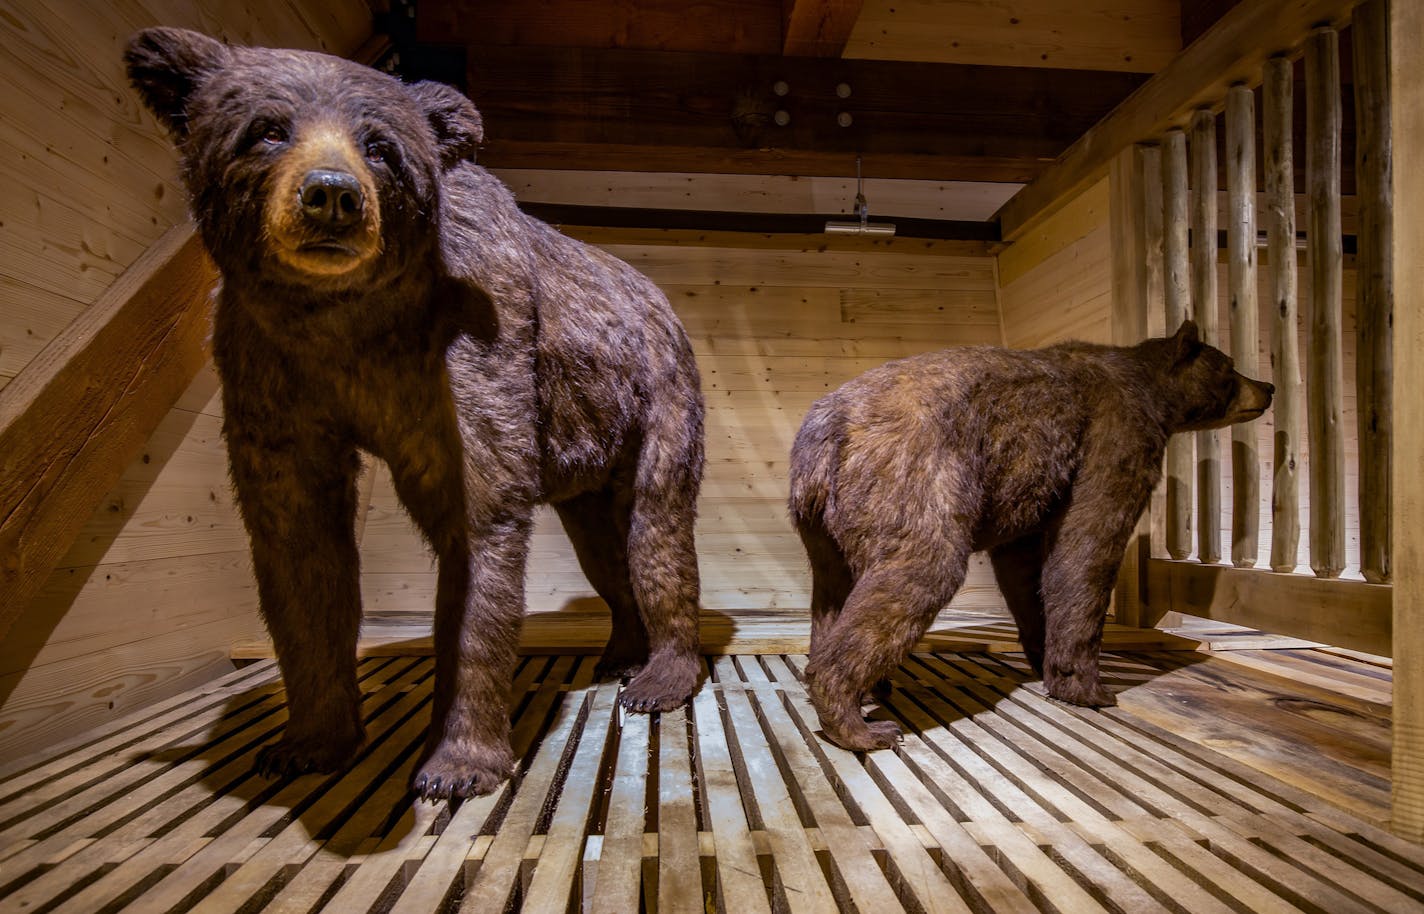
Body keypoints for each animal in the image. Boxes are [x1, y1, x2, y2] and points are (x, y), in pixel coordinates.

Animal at [125, 26, 703, 797]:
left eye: (379, 145)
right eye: (267, 129)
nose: (331, 195)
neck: (348, 323)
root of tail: (661, 299)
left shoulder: (472, 351)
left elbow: (479, 525)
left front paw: (457, 761)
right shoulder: (268, 366)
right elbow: (299, 545)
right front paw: (307, 740)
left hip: (656, 396)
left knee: (654, 529)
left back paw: (659, 678)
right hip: (588, 452)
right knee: (601, 548)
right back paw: (619, 652)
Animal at [791, 320, 1270, 746]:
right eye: (1230, 366)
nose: (1268, 386)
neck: (1155, 397)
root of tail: (829, 431)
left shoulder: (1026, 488)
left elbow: (1022, 570)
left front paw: (1045, 658)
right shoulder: (1113, 437)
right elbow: (1086, 548)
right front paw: (1088, 686)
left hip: (820, 522)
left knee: (831, 591)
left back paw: (857, 685)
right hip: (916, 475)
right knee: (920, 570)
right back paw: (859, 724)